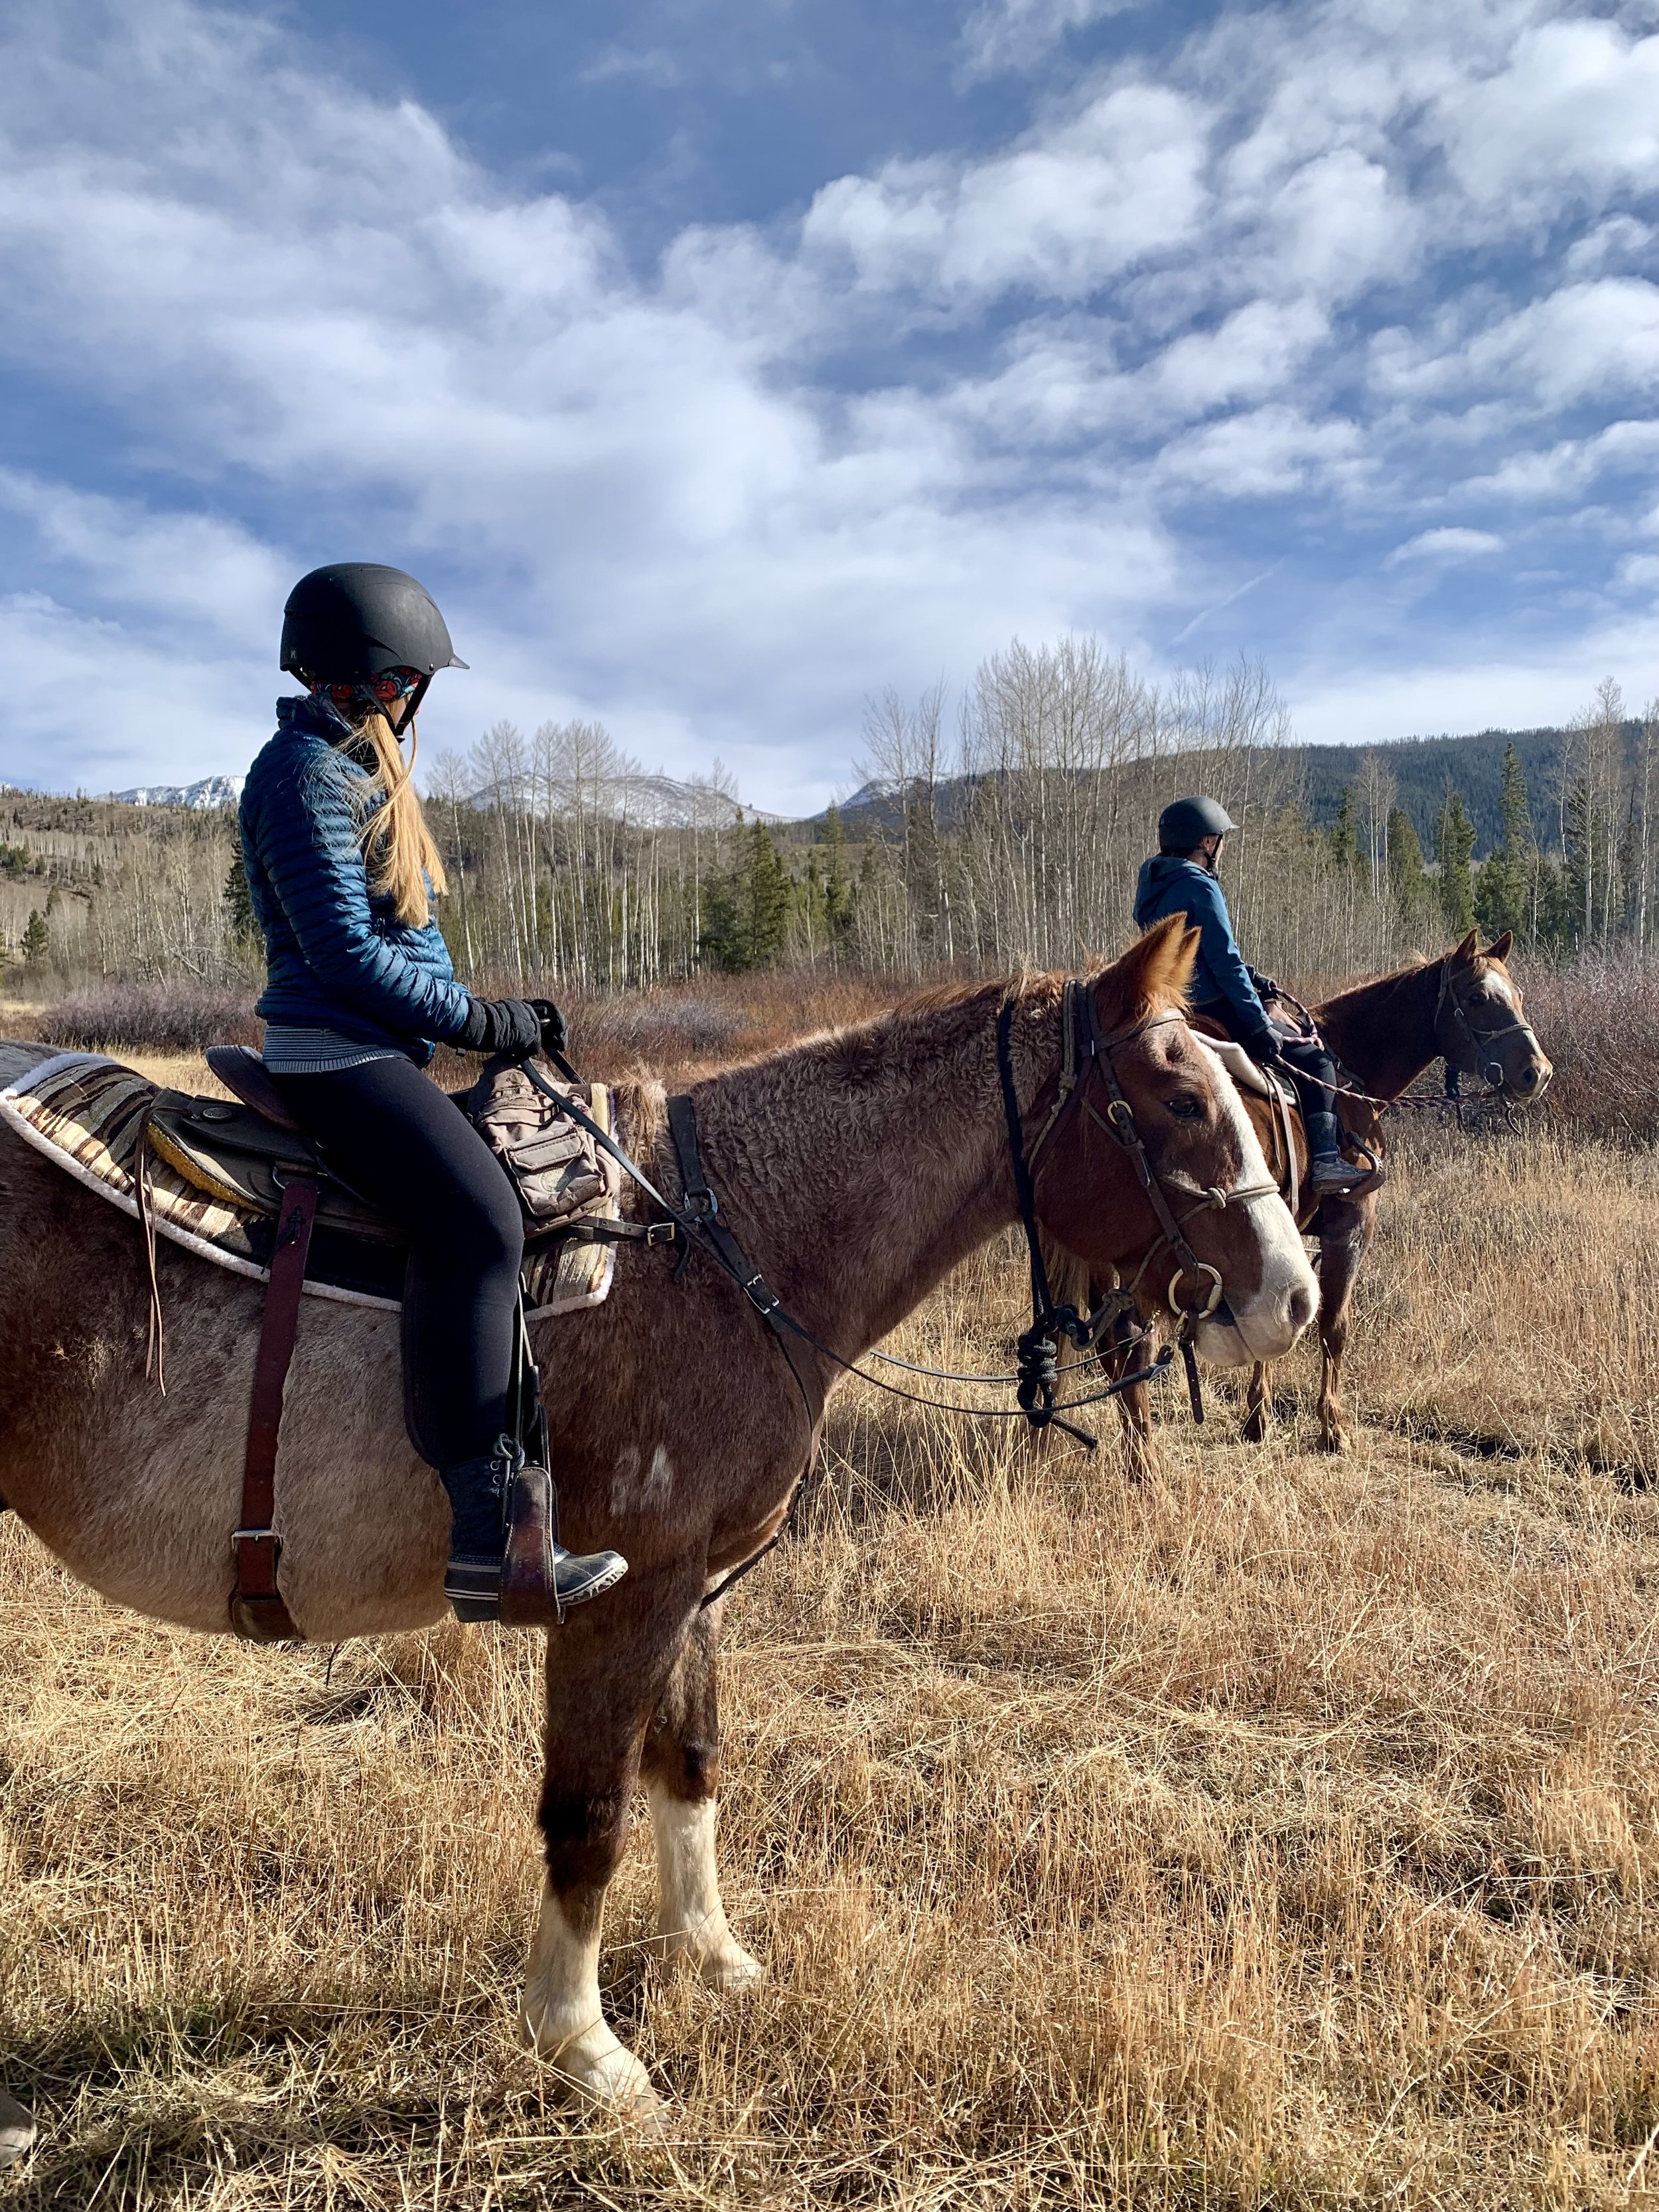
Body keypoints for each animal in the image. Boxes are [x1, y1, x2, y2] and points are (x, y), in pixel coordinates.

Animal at [0, 918, 1317, 2131]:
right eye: (1182, 1098)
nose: (1293, 1301)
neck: (719, 1251)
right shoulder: (620, 1598)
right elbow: (589, 1815)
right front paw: (584, 2046)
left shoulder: (697, 1582)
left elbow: (689, 1763)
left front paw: (714, 1958)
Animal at [1105, 928, 1552, 1470]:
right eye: (1478, 998)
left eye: (1518, 995)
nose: (1537, 1073)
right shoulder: (1351, 1228)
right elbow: (1333, 1327)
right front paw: (1331, 1429)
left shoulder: (1281, 1232)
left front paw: (1258, 1417)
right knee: (1131, 1341)